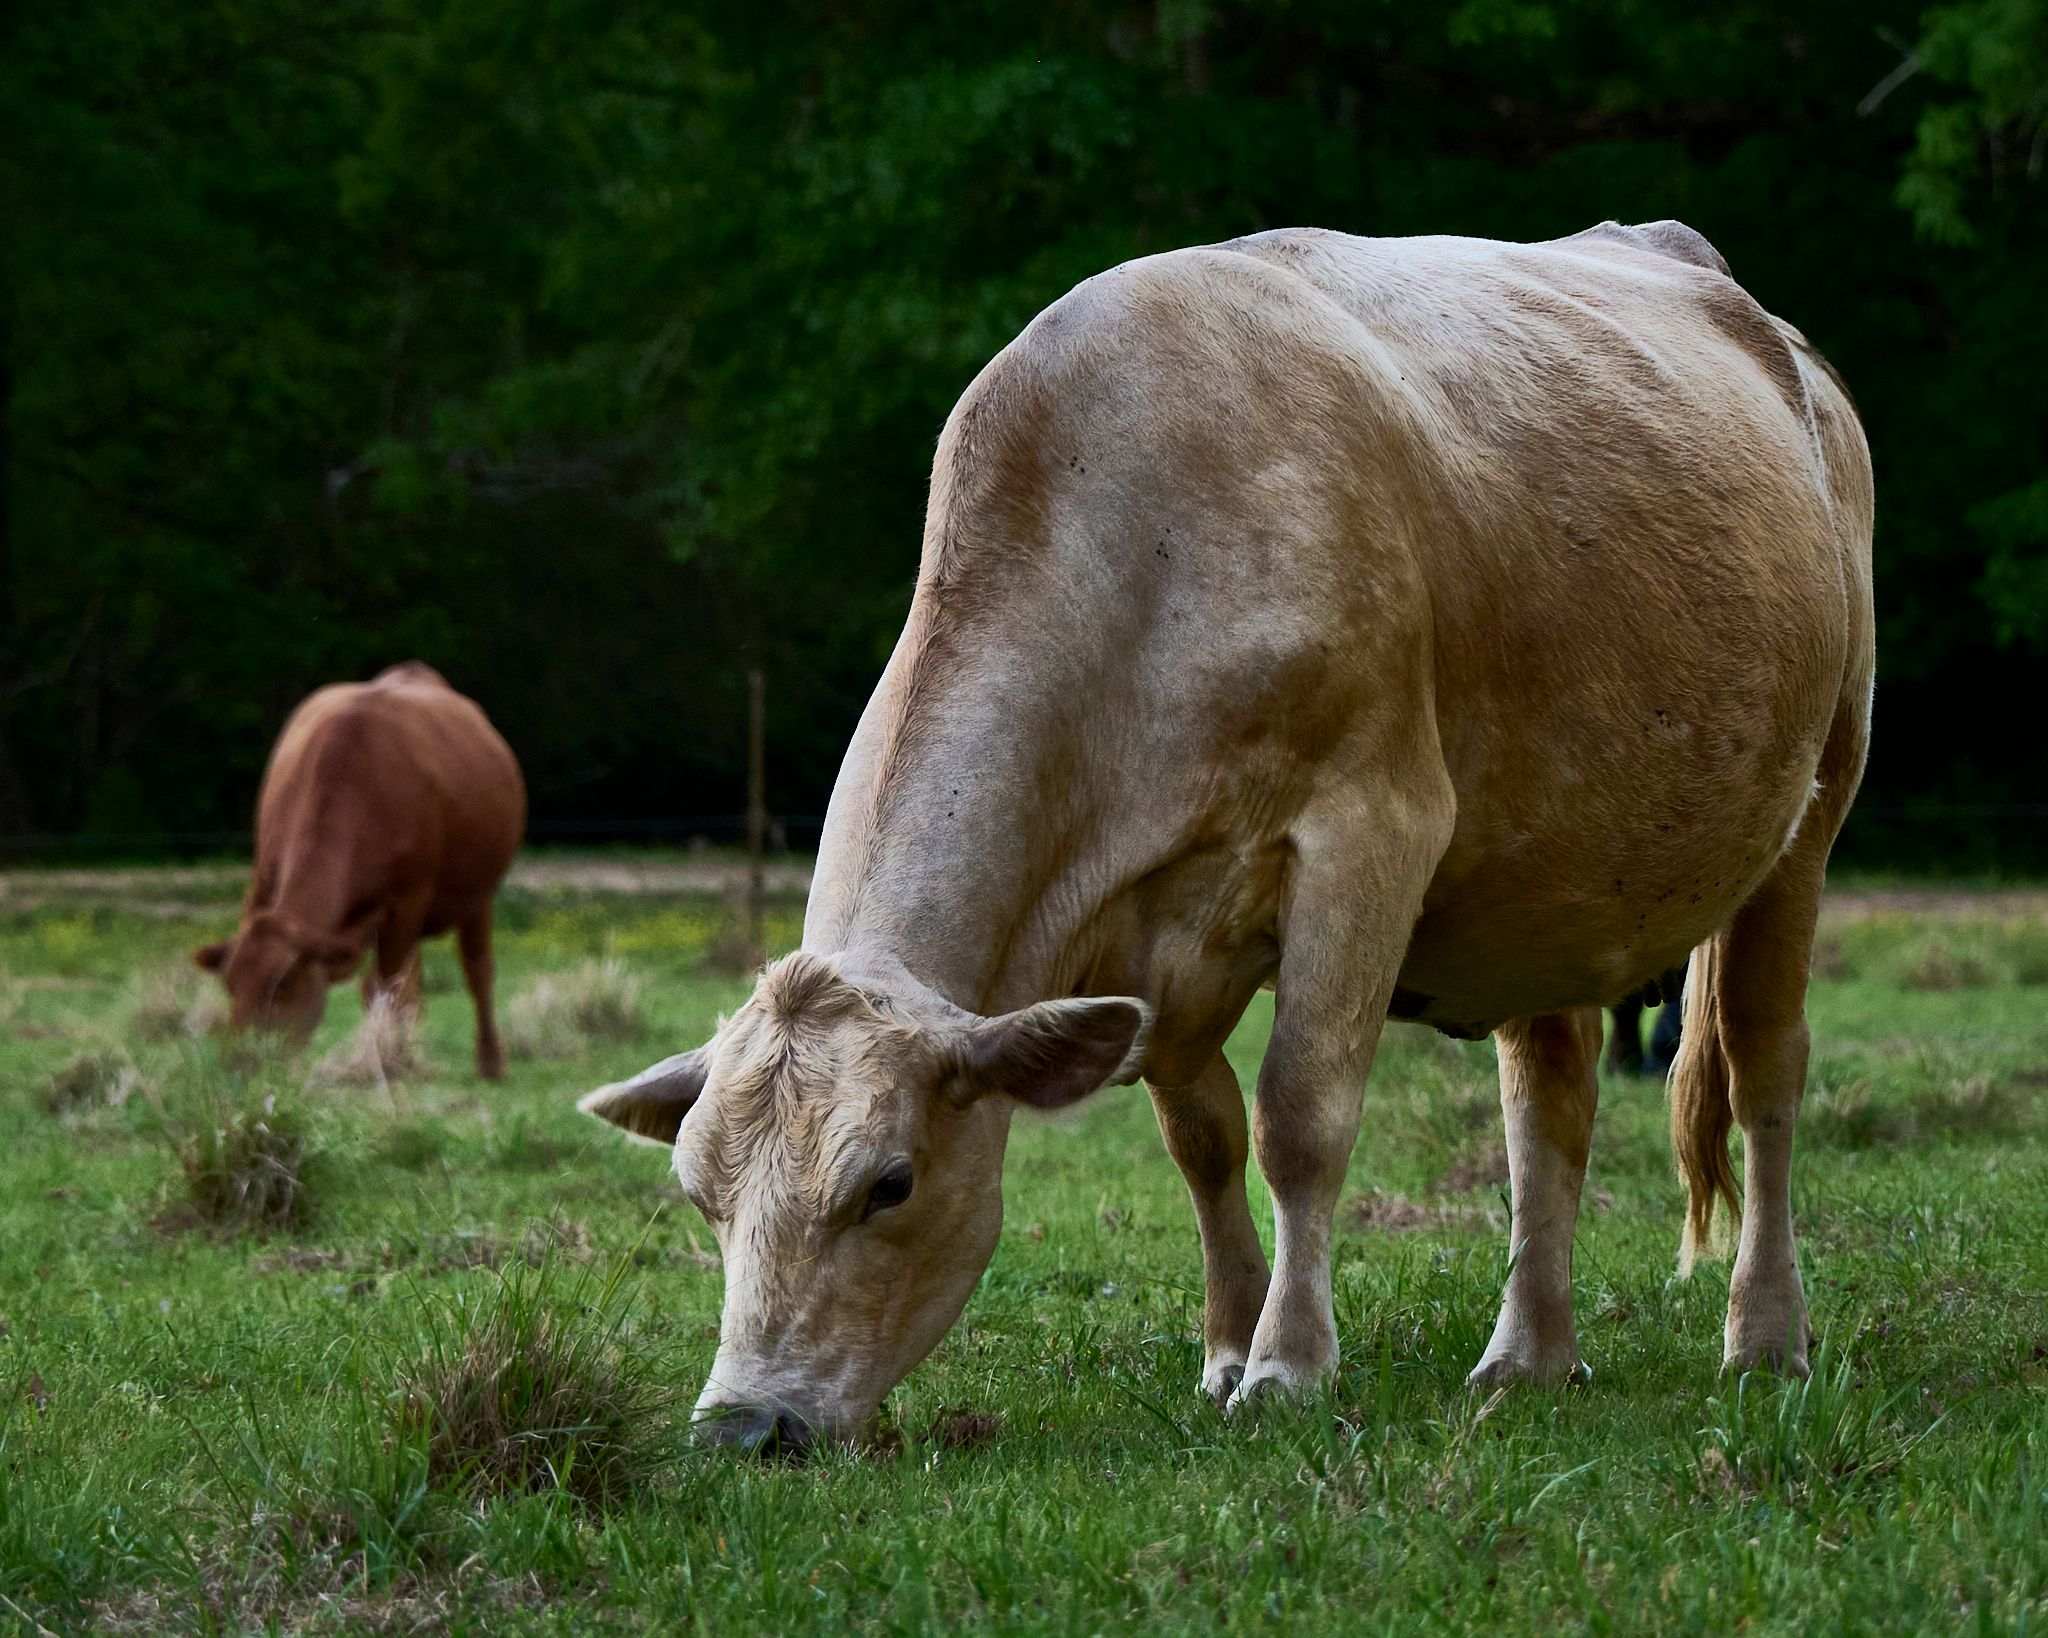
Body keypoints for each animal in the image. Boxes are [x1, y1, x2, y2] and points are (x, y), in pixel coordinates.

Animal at [195, 662, 526, 1079]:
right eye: (229, 983)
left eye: (284, 984)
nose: (241, 1063)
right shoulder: (264, 882)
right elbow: (385, 986)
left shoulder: (409, 900)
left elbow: (392, 985)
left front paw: (389, 1061)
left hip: (477, 895)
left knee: (476, 969)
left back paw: (490, 1059)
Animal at [582, 220, 1874, 1451]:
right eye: (701, 1197)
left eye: (888, 1184)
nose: (743, 1426)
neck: (1137, 556)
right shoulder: (1148, 942)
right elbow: (1199, 1139)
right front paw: (1224, 1348)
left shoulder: (1370, 831)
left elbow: (1298, 1115)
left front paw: (1287, 1364)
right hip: (1549, 874)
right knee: (1545, 1097)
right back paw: (1526, 1354)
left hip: (1814, 802)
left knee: (1763, 1067)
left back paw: (1764, 1335)